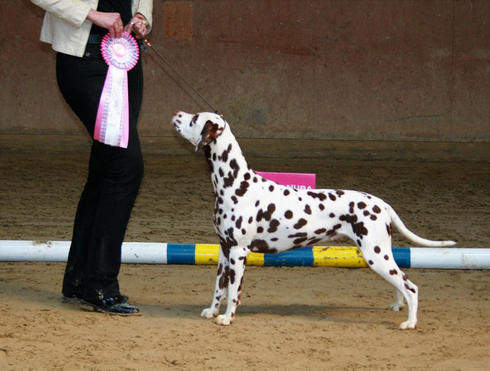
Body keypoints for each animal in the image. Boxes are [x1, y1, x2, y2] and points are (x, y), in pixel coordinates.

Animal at [171, 111, 456, 332]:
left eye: (194, 119)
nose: (176, 114)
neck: (234, 184)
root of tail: (382, 204)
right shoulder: (224, 249)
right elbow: (218, 287)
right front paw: (212, 310)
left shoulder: (239, 253)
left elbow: (233, 292)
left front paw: (227, 318)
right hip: (381, 255)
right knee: (400, 283)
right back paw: (398, 306)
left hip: (376, 255)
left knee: (411, 287)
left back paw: (410, 322)